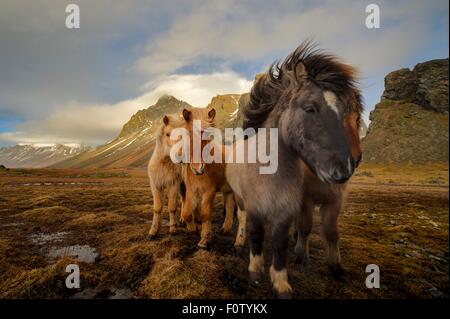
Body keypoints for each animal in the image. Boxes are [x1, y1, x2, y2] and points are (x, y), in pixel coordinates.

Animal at [178, 106, 237, 249]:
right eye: (188, 134)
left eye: (208, 136)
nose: (197, 168)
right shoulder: (191, 192)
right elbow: (186, 213)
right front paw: (192, 229)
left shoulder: (209, 192)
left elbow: (205, 215)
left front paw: (204, 239)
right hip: (228, 190)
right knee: (230, 206)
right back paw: (225, 229)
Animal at [229, 41, 362, 298]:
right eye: (310, 108)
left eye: (347, 113)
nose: (343, 169)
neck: (271, 173)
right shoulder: (256, 208)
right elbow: (256, 235)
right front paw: (255, 271)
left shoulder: (287, 210)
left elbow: (281, 244)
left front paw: (281, 283)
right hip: (240, 199)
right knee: (241, 219)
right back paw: (239, 243)